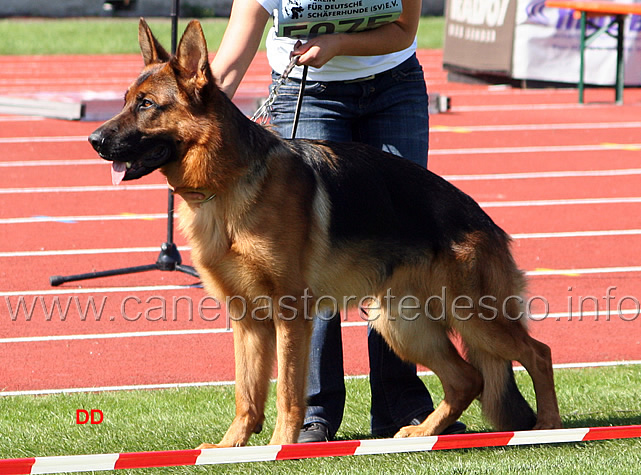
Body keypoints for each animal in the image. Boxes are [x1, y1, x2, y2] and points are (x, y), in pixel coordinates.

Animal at [89, 19, 560, 450]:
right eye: (125, 102)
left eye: (147, 104)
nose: (93, 139)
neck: (227, 183)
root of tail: (484, 219)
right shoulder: (247, 319)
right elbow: (247, 395)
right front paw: (230, 448)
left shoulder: (290, 313)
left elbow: (287, 392)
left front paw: (281, 446)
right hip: (400, 323)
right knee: (468, 378)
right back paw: (425, 431)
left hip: (472, 316)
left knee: (538, 353)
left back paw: (549, 426)